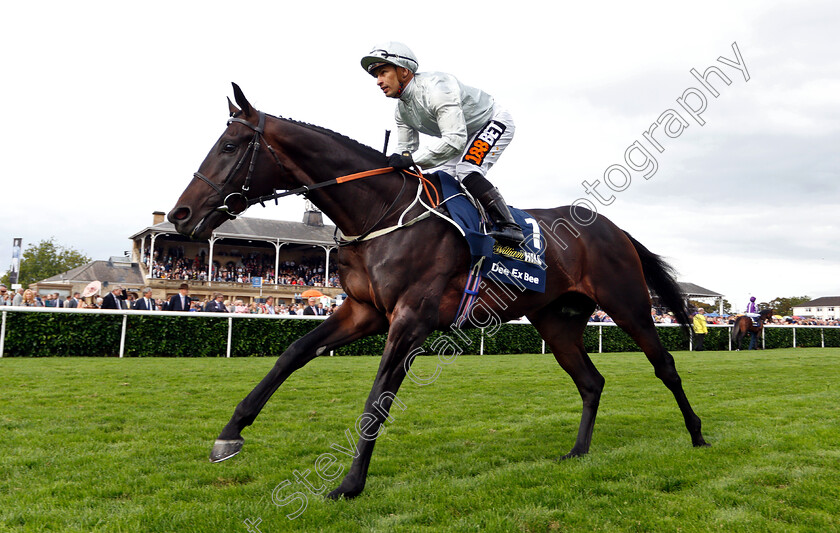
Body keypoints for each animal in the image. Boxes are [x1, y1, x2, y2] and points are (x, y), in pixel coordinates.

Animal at [167, 83, 704, 498]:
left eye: (230, 146)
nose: (180, 215)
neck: (380, 213)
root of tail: (615, 229)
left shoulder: (411, 320)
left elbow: (377, 398)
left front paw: (349, 484)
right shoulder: (363, 310)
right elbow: (293, 353)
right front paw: (229, 434)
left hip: (628, 305)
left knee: (665, 365)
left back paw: (698, 435)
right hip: (557, 321)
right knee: (591, 382)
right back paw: (578, 450)